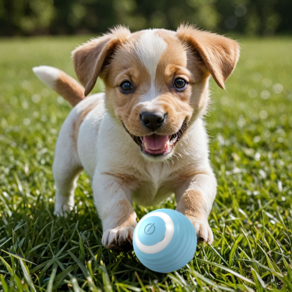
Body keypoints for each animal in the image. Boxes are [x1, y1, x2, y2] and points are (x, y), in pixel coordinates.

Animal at [33, 24, 240, 250]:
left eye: (180, 83)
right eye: (125, 85)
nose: (152, 117)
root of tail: (85, 101)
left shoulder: (198, 173)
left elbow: (194, 196)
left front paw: (193, 224)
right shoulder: (110, 177)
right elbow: (118, 204)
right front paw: (121, 230)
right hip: (64, 163)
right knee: (65, 188)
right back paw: (63, 212)